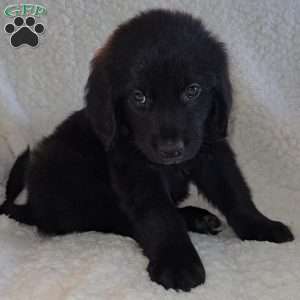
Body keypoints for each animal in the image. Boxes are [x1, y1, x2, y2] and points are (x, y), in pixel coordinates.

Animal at [1, 8, 294, 290]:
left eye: (193, 90)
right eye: (139, 97)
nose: (171, 150)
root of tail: (32, 206)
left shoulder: (211, 150)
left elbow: (235, 191)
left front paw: (260, 225)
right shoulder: (136, 169)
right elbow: (159, 216)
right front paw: (177, 263)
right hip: (67, 175)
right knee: (109, 220)